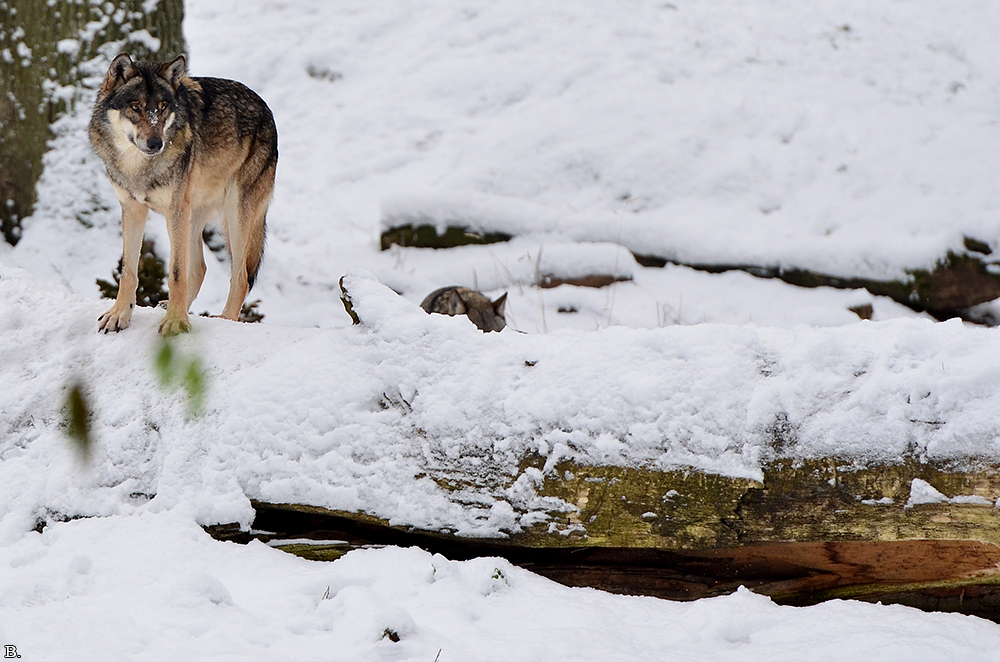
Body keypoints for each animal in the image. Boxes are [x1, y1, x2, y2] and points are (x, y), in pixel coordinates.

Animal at [89, 52, 277, 335]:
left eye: (163, 107)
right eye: (135, 107)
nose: (156, 143)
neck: (138, 167)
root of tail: (266, 108)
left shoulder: (175, 211)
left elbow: (176, 273)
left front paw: (176, 323)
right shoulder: (132, 209)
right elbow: (128, 272)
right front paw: (119, 315)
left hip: (234, 215)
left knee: (240, 277)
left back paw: (223, 320)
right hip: (192, 215)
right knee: (199, 269)